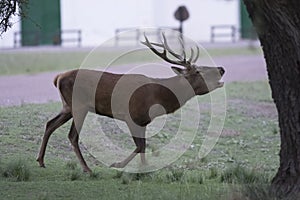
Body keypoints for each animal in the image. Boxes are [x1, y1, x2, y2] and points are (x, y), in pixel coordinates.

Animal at [35, 33, 225, 173]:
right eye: (198, 71)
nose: (222, 69)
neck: (158, 98)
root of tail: (58, 77)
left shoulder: (143, 121)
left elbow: (144, 145)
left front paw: (145, 167)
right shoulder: (131, 116)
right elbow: (139, 145)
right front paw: (118, 164)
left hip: (67, 106)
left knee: (50, 124)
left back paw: (41, 161)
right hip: (78, 106)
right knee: (72, 136)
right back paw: (86, 169)